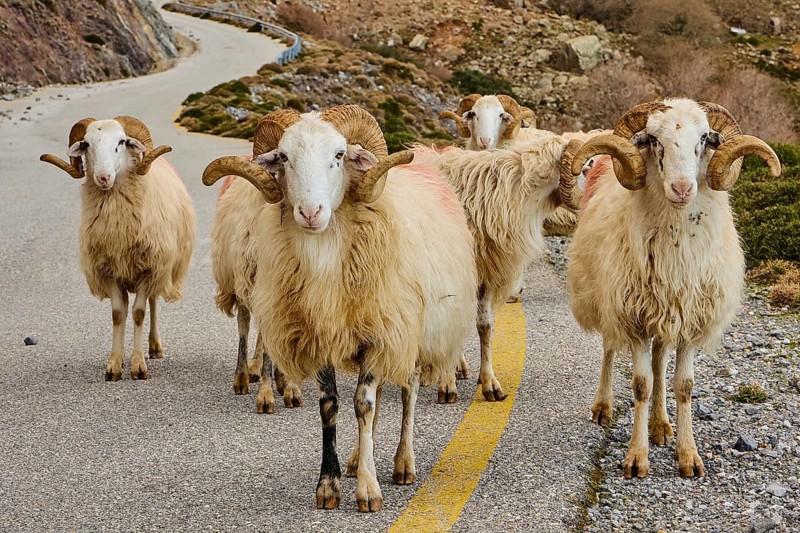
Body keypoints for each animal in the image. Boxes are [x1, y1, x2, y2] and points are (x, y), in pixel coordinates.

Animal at [40, 116, 196, 381]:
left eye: (121, 142)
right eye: (87, 144)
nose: (103, 177)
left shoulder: (149, 268)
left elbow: (139, 313)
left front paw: (138, 366)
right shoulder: (109, 270)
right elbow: (118, 314)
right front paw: (114, 364)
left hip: (161, 266)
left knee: (153, 302)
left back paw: (154, 347)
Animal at [562, 98, 781, 478]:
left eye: (705, 138)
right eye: (653, 139)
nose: (681, 189)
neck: (675, 247)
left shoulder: (690, 319)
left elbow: (683, 385)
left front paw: (688, 455)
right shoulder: (632, 317)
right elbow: (640, 384)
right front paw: (637, 457)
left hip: (665, 313)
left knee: (660, 361)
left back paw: (661, 425)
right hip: (605, 298)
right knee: (609, 349)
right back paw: (603, 406)